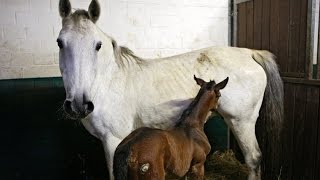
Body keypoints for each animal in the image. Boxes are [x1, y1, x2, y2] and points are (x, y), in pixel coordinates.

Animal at [57, 0, 282, 179]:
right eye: (60, 42)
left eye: (98, 45)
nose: (78, 104)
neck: (108, 82)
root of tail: (249, 52)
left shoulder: (113, 140)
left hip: (242, 122)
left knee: (253, 158)